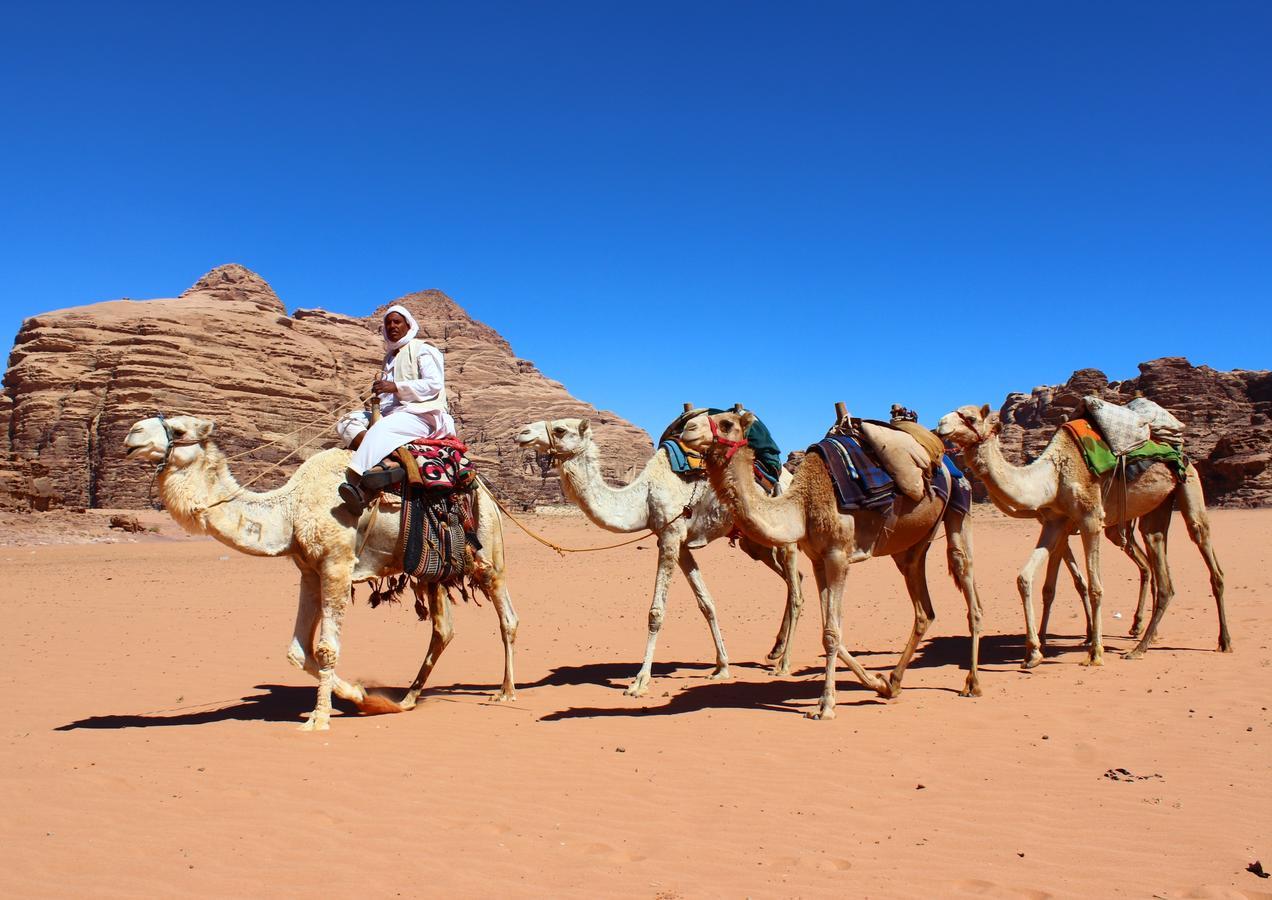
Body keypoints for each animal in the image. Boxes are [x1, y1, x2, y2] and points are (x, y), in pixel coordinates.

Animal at [119, 414, 516, 732]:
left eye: (179, 429)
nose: (132, 434)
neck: (291, 509)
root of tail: (483, 487)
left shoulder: (336, 564)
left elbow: (325, 648)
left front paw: (320, 718)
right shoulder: (308, 570)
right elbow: (297, 652)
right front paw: (361, 695)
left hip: (487, 551)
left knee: (507, 617)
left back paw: (505, 692)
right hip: (429, 571)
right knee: (443, 629)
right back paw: (405, 699)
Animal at [511, 416, 798, 696]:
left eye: (560, 429)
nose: (522, 433)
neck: (644, 497)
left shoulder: (670, 535)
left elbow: (656, 612)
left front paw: (640, 681)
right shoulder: (677, 541)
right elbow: (707, 603)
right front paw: (722, 667)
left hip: (784, 533)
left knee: (796, 589)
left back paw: (783, 664)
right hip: (755, 543)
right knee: (794, 580)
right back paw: (775, 651)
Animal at [681, 406, 987, 716]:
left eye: (726, 423)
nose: (687, 430)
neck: (802, 506)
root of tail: (943, 457)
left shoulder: (839, 555)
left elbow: (831, 632)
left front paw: (826, 704)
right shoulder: (818, 558)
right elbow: (830, 627)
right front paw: (876, 683)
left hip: (959, 505)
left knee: (965, 577)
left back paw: (971, 683)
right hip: (911, 546)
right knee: (924, 610)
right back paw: (895, 681)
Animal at [941, 404, 1226, 666]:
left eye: (971, 417)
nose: (941, 425)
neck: (1053, 475)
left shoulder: (1089, 519)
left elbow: (1093, 587)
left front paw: (1094, 652)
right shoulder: (1056, 523)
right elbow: (1032, 581)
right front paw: (1034, 650)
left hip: (1188, 483)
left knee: (1203, 545)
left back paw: (1223, 641)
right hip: (1153, 510)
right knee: (1158, 563)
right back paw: (1142, 643)